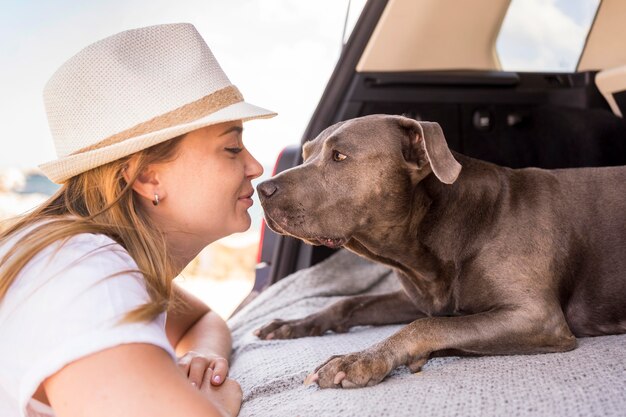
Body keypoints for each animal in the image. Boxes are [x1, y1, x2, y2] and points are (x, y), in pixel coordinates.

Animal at [252, 113, 624, 386]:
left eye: (339, 156)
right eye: (305, 155)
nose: (262, 189)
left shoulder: (538, 318)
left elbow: (428, 326)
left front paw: (363, 358)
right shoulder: (423, 295)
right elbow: (349, 302)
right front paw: (294, 323)